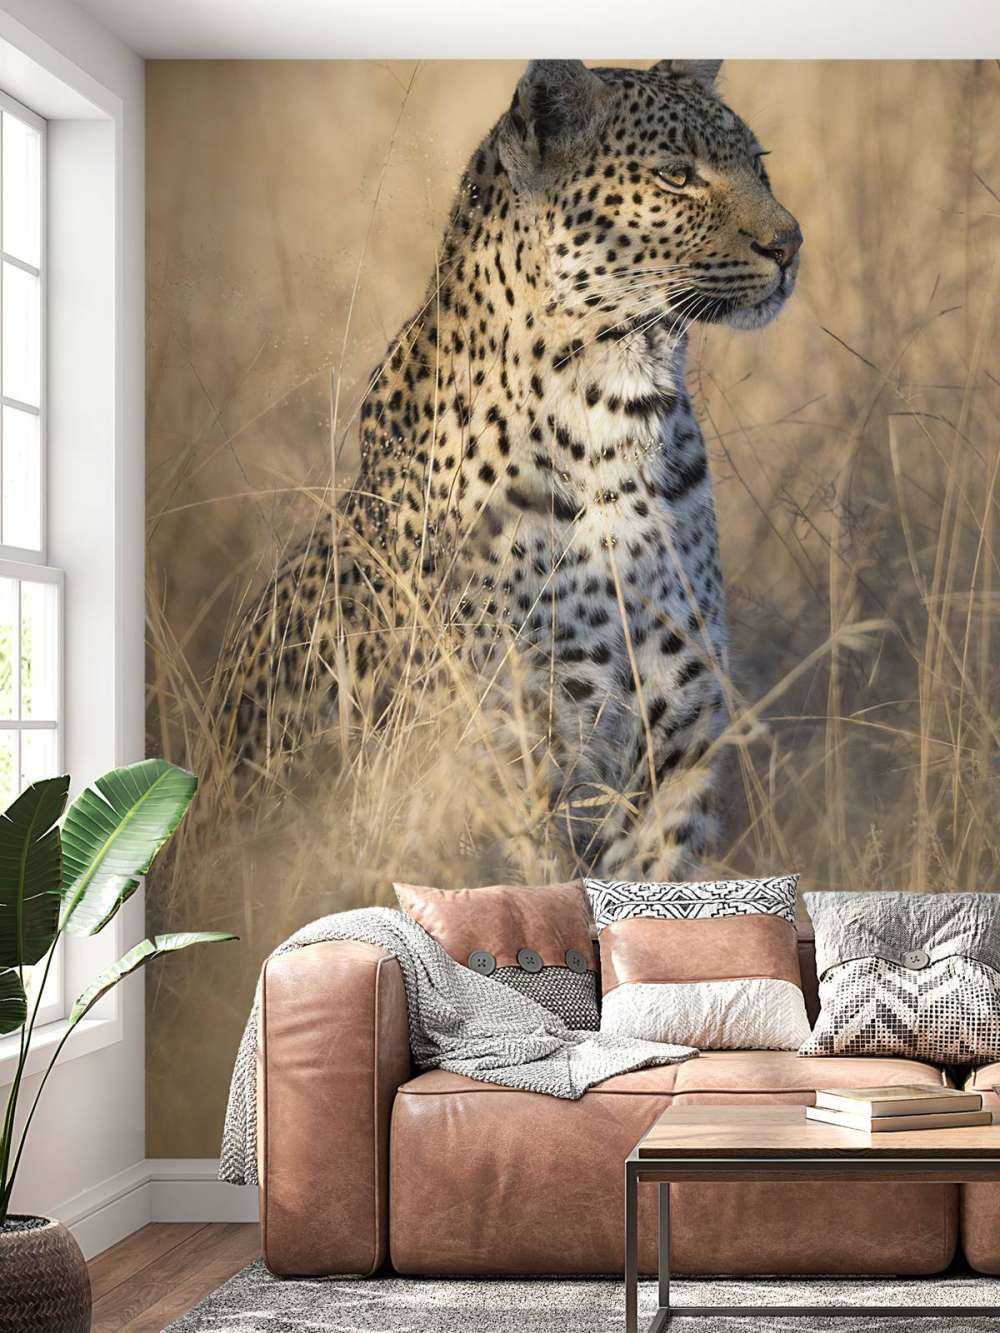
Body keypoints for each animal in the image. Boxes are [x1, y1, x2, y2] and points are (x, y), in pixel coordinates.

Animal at [224, 58, 802, 879]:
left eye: (758, 164)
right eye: (675, 175)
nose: (790, 243)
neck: (622, 414)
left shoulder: (678, 759)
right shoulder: (508, 762)